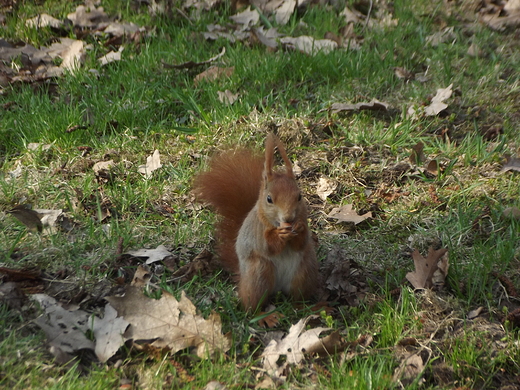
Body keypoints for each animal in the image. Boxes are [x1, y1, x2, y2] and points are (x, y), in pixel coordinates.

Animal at [194, 133, 318, 310]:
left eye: (300, 197)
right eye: (269, 199)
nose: (289, 218)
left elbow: (300, 243)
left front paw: (299, 228)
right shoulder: (257, 232)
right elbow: (267, 246)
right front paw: (279, 235)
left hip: (304, 273)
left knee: (298, 300)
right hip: (259, 274)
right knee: (252, 305)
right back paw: (265, 314)